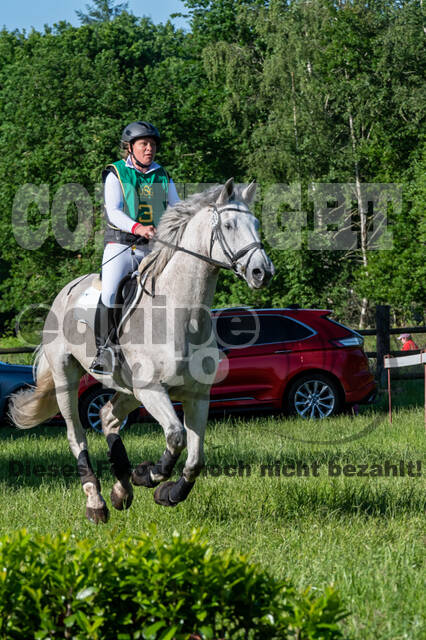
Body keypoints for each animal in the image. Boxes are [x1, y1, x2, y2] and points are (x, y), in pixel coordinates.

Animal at [9, 178, 274, 524]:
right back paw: (96, 503)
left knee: (108, 417)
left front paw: (167, 493)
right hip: (67, 378)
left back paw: (121, 490)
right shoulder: (152, 390)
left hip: (128, 389)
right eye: (229, 225)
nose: (262, 272)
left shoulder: (197, 395)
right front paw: (148, 475)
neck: (182, 315)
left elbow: (196, 459)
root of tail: (66, 290)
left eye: (255, 224)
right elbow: (175, 436)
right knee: (75, 435)